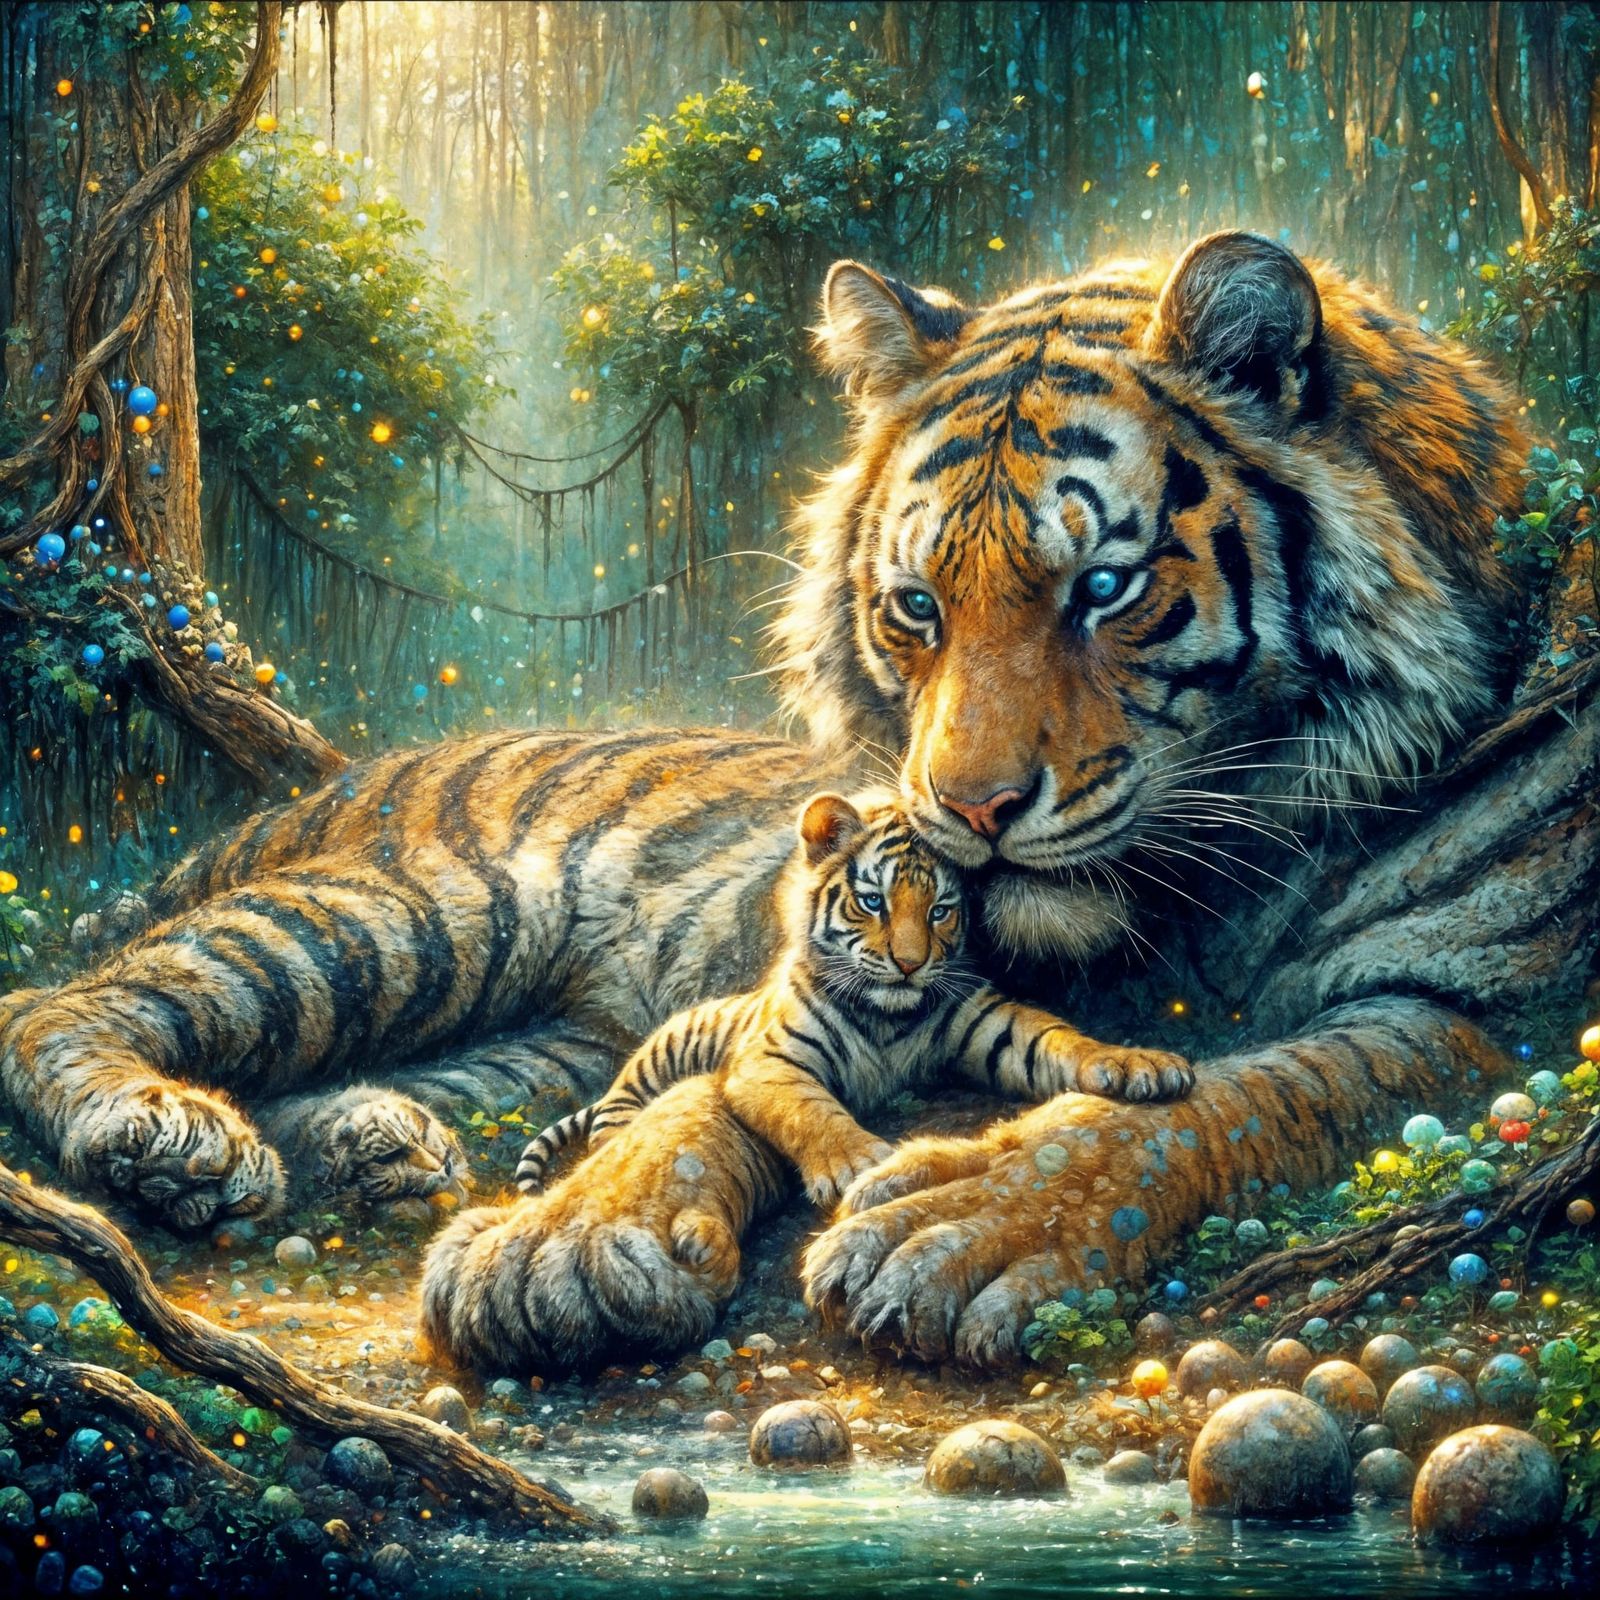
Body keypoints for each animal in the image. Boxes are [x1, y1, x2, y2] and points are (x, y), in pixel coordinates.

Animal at [511, 792, 1191, 1197]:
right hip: (651, 1064)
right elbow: (810, 1112)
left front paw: (1139, 1064)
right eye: (873, 901)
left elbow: (1060, 1039)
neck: (888, 1018)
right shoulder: (770, 1061)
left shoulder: (989, 1023)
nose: (911, 964)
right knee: (614, 1119)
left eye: (942, 910)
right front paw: (858, 1164)